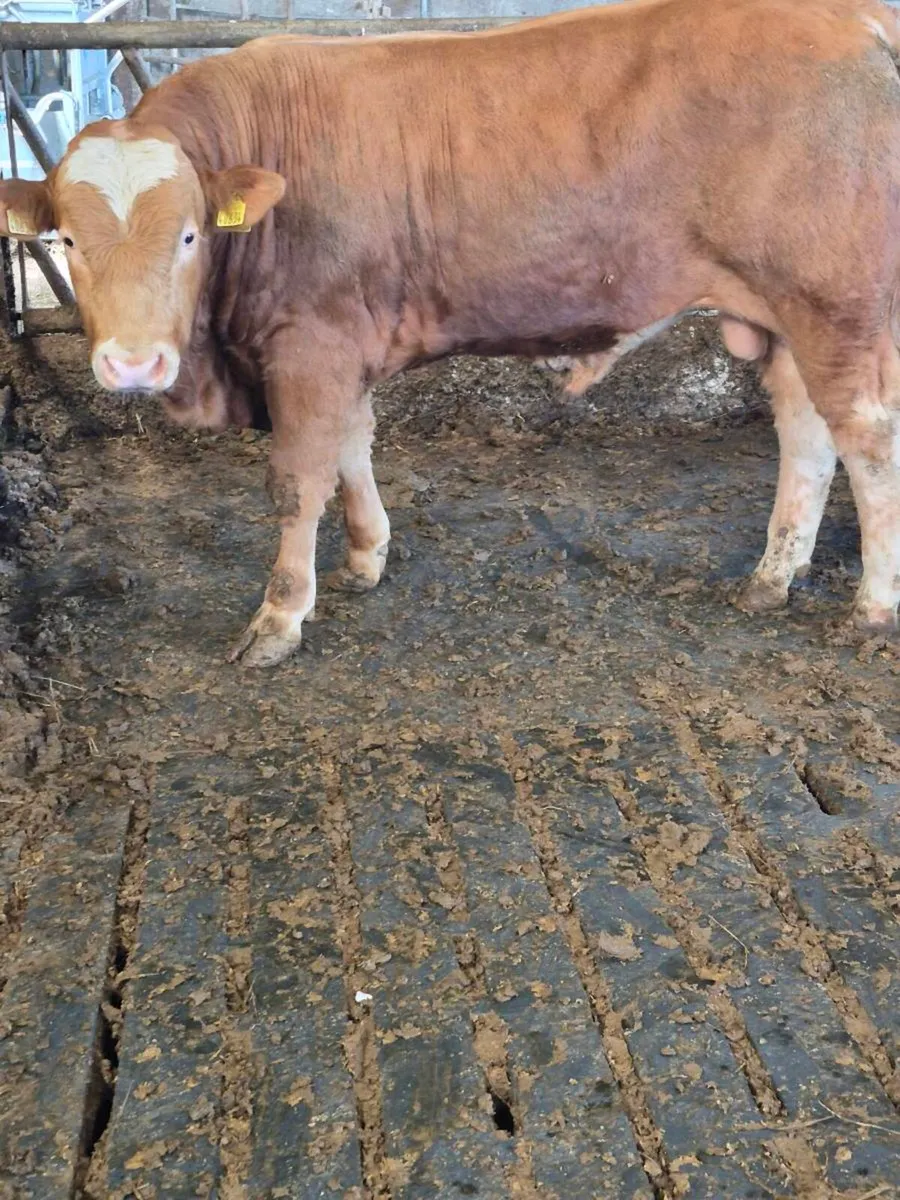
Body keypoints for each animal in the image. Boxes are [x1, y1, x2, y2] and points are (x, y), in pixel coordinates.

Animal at [1, 0, 899, 666]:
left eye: (190, 235)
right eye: (66, 240)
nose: (133, 365)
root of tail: (852, 19)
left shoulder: (310, 346)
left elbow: (298, 480)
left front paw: (280, 616)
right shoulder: (342, 346)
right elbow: (352, 449)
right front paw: (366, 556)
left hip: (838, 304)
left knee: (869, 442)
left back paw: (872, 606)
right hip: (786, 315)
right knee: (807, 435)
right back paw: (772, 577)